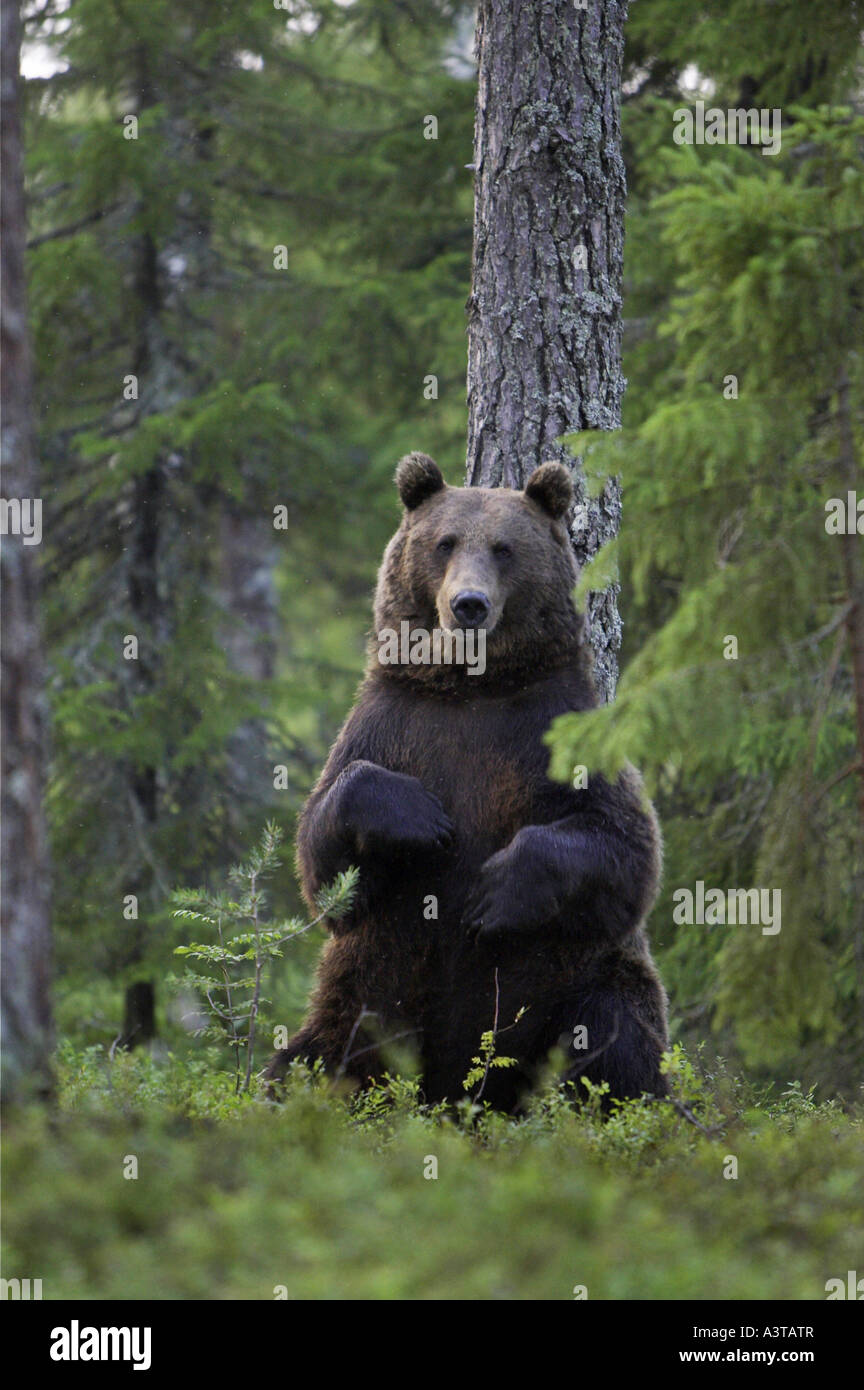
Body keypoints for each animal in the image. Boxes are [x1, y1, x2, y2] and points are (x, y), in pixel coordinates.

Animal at [264, 453, 668, 1111]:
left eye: (504, 548)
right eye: (444, 542)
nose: (468, 604)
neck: (472, 687)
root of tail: (461, 1099)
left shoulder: (556, 726)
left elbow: (623, 848)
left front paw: (495, 889)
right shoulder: (395, 722)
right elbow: (323, 862)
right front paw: (420, 818)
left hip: (579, 982)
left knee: (617, 1036)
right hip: (363, 998)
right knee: (305, 1063)